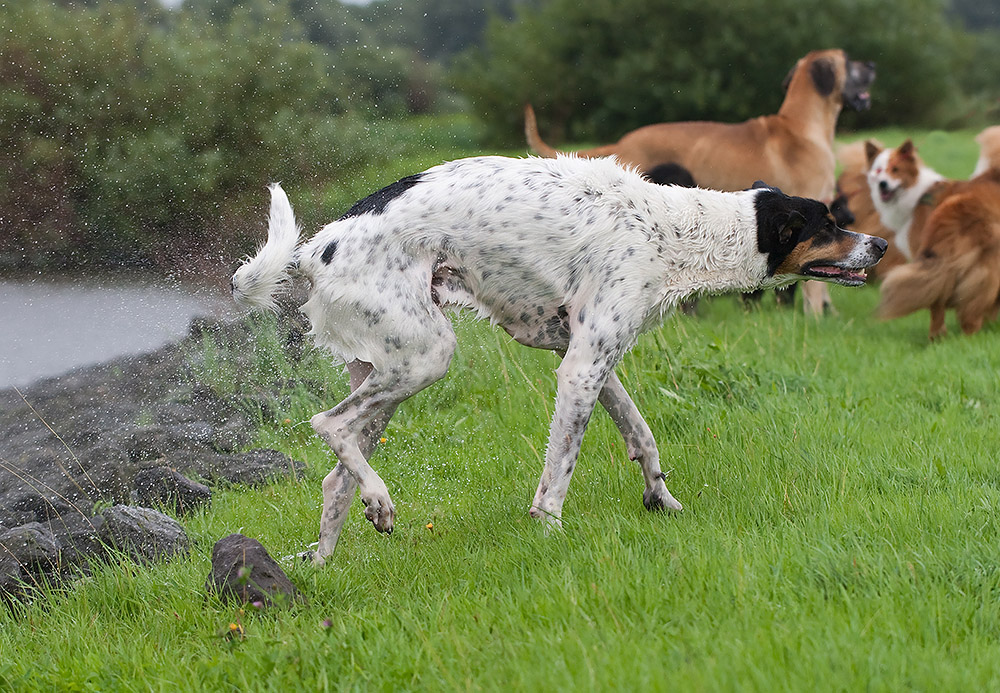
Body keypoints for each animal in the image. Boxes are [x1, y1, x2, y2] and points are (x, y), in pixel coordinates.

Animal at [524, 50, 876, 314]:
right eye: (849, 61)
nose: (872, 64)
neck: (800, 126)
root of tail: (620, 143)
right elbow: (815, 284)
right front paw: (815, 316)